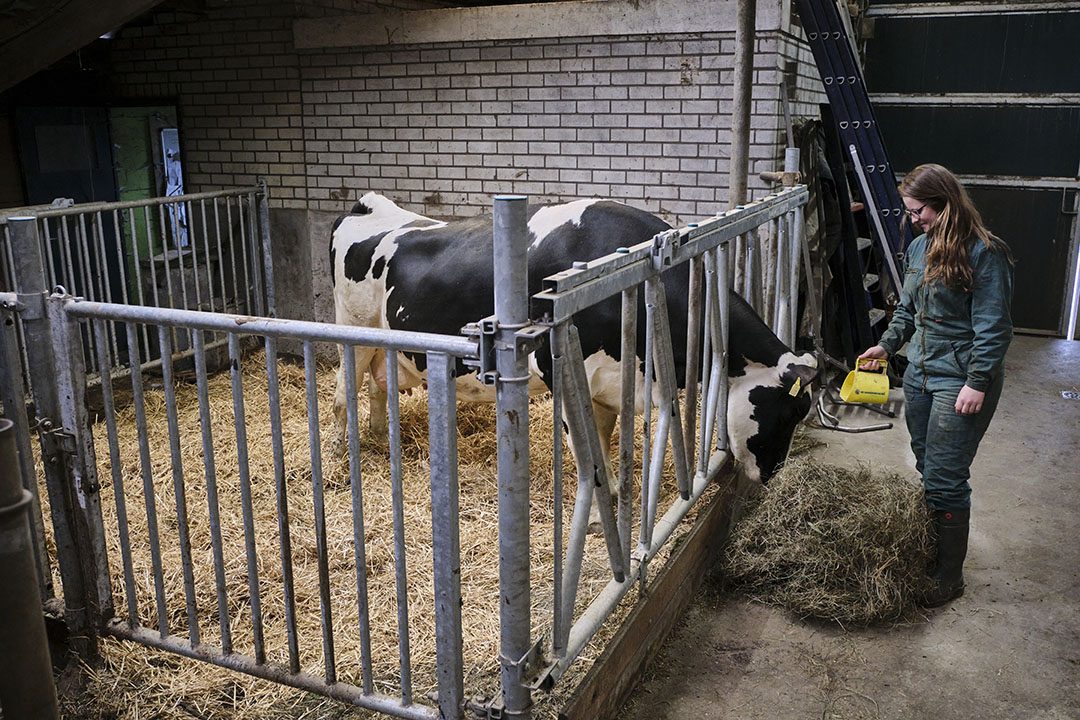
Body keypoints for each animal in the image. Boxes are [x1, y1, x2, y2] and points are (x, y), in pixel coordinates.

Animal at [330, 191, 816, 483]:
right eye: (790, 413)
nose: (773, 474)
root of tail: (369, 206)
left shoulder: (611, 381)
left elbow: (608, 452)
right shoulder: (560, 368)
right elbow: (592, 465)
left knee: (377, 384)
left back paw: (379, 438)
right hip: (354, 328)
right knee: (341, 394)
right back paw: (339, 457)